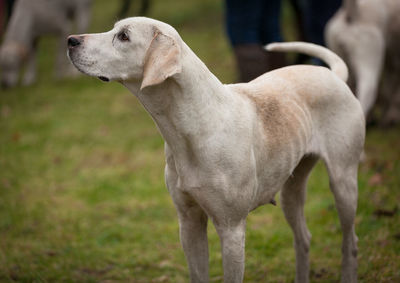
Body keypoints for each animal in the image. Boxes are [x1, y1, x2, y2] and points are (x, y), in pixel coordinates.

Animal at [67, 17, 364, 283]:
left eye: (124, 36)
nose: (71, 40)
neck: (196, 125)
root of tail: (334, 75)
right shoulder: (189, 223)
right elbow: (198, 273)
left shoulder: (232, 229)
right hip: (291, 191)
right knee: (303, 239)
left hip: (343, 184)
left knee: (350, 242)